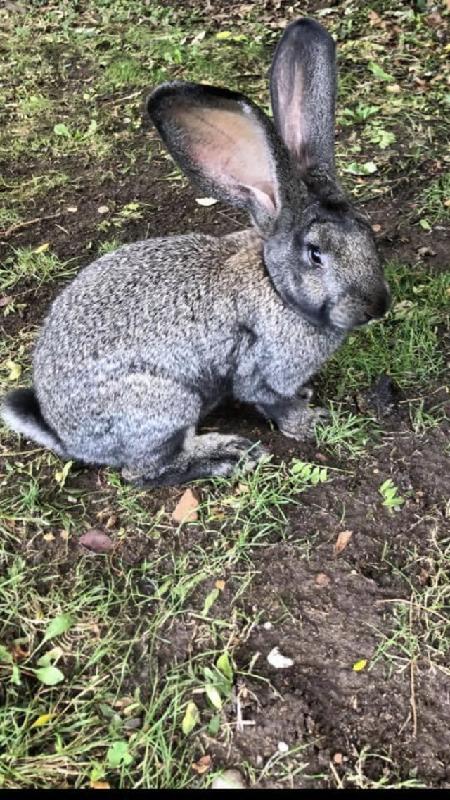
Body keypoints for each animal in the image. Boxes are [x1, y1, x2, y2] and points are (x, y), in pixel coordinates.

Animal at [1, 18, 390, 487]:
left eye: (367, 231)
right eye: (315, 254)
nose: (377, 306)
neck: (276, 287)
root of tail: (68, 436)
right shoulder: (260, 370)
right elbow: (272, 401)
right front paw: (309, 421)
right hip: (164, 402)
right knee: (142, 470)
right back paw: (226, 454)